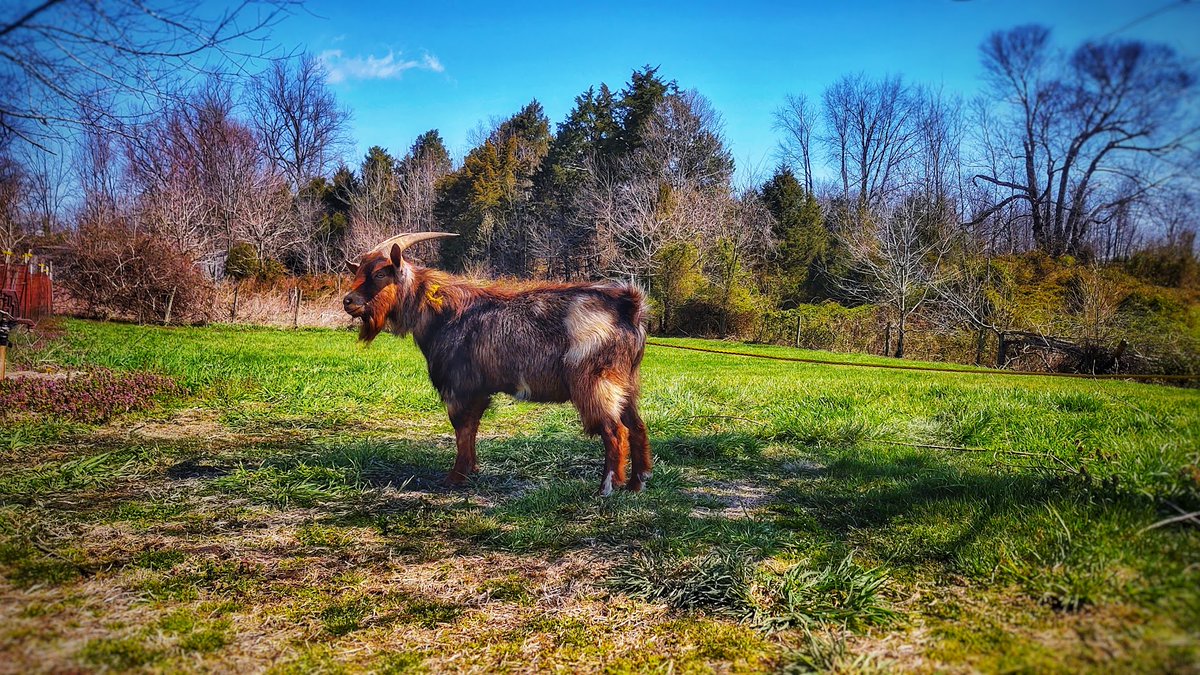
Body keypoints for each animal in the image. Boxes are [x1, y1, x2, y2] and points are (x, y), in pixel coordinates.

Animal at [343, 232, 651, 495]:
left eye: (380, 273)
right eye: (357, 272)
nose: (348, 301)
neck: (443, 313)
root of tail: (629, 307)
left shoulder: (458, 387)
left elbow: (462, 429)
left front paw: (455, 477)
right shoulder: (478, 391)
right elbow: (472, 428)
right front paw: (471, 471)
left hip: (595, 382)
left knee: (615, 431)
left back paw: (606, 489)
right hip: (626, 384)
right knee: (637, 426)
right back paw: (636, 484)